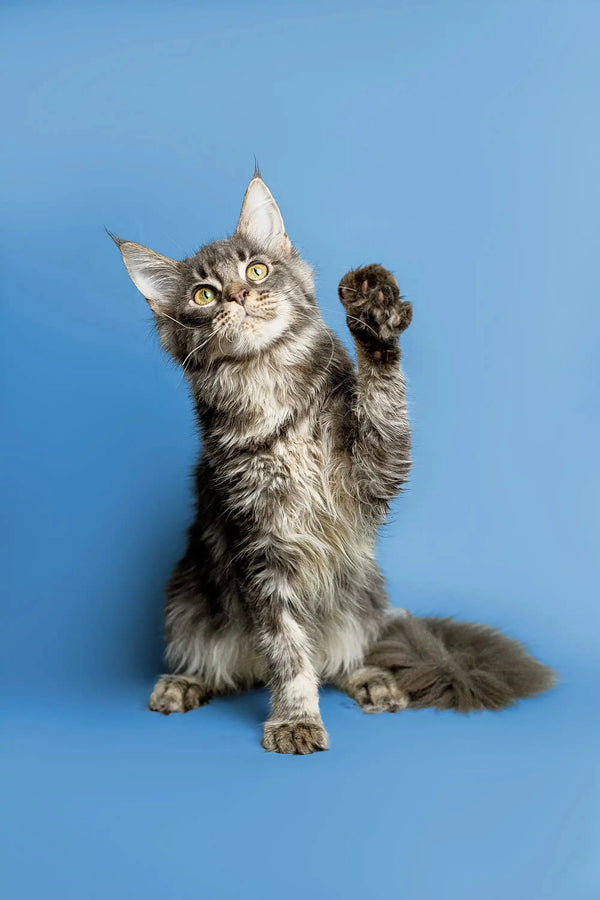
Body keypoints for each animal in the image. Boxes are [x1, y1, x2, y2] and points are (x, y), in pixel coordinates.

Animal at [111, 167, 552, 752]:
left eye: (257, 269)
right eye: (204, 295)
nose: (239, 294)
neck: (269, 382)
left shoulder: (374, 470)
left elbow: (384, 396)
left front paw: (374, 317)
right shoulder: (263, 546)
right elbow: (288, 652)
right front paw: (295, 719)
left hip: (364, 595)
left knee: (342, 659)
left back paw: (374, 681)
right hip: (186, 600)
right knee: (233, 667)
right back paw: (184, 684)